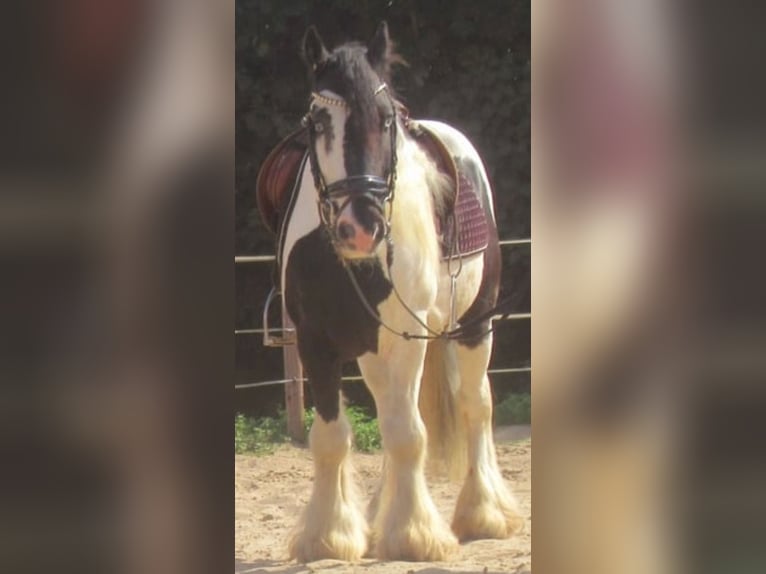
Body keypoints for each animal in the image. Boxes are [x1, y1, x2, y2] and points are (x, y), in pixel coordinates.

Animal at [260, 21, 524, 564]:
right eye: (318, 121)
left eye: (385, 121)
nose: (360, 228)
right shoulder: (316, 342)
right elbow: (332, 437)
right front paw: (330, 535)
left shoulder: (406, 338)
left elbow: (408, 434)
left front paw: (413, 535)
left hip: (475, 326)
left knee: (474, 405)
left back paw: (482, 513)